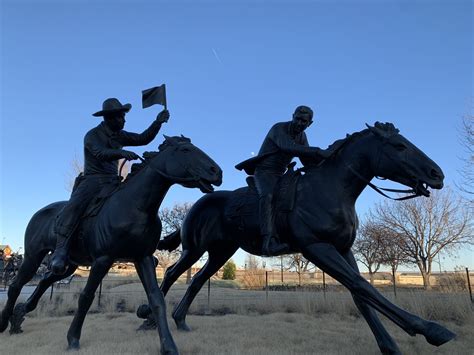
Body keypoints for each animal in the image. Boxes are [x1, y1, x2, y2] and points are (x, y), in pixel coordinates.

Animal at [0, 136, 222, 355]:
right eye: (185, 150)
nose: (217, 172)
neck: (135, 207)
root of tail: (39, 213)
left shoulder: (143, 258)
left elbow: (157, 299)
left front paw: (168, 346)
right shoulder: (103, 260)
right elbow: (86, 297)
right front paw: (73, 339)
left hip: (68, 265)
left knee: (45, 280)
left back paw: (18, 317)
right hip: (33, 257)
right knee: (15, 286)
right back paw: (5, 323)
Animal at [154, 124, 454, 354]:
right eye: (399, 146)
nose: (436, 174)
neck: (330, 189)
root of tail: (199, 203)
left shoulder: (343, 249)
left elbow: (359, 294)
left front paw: (390, 346)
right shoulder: (317, 248)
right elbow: (362, 286)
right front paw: (432, 330)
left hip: (220, 252)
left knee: (196, 280)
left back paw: (180, 321)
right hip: (194, 249)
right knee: (170, 273)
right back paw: (149, 321)